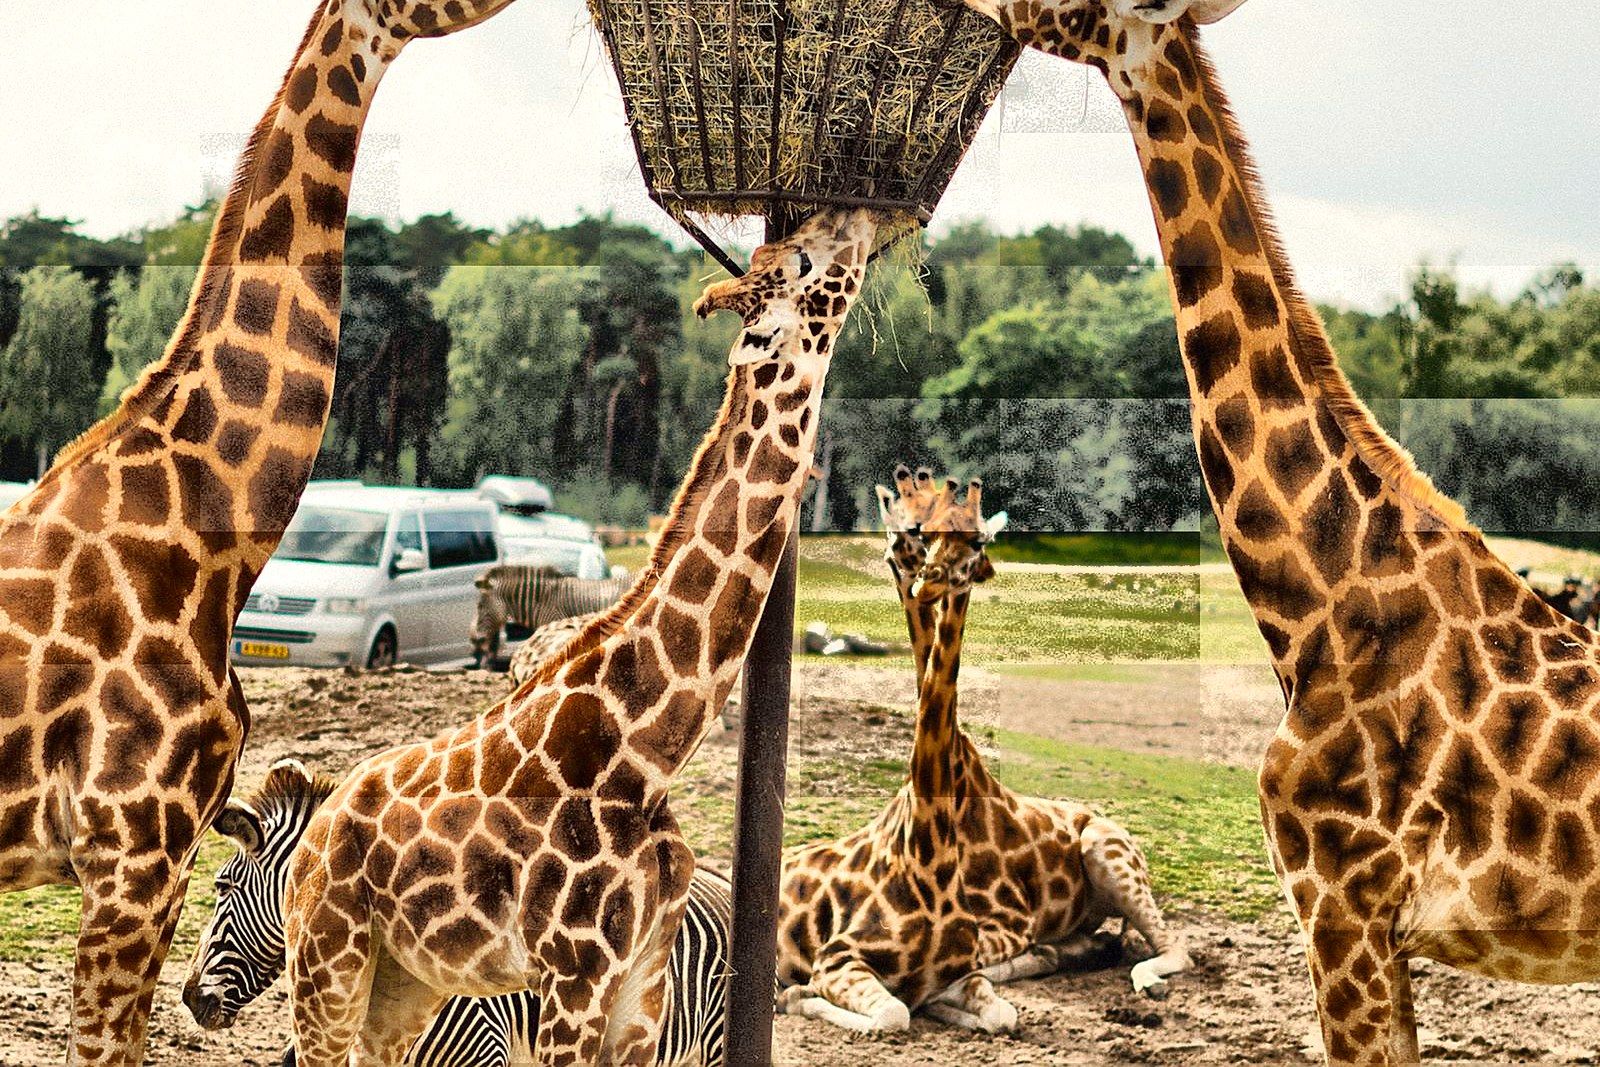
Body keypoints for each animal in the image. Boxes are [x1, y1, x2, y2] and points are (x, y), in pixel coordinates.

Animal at [278, 208, 878, 1066]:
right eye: (798, 258)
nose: (862, 219)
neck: (647, 749)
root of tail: (316, 830)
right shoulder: (572, 974)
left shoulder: (641, 984)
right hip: (328, 957)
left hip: (404, 981)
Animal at [875, 467, 1188, 996]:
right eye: (906, 538)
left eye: (976, 541)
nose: (924, 583)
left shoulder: (1008, 921)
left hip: (1108, 854)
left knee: (1169, 947)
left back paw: (1145, 979)